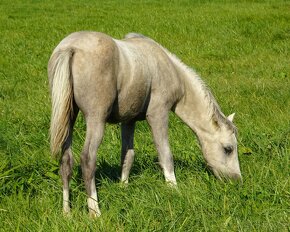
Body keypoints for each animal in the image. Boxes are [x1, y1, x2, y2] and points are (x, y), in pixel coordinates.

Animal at [48, 31, 242, 218]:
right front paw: (174, 190)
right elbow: (165, 154)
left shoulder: (128, 121)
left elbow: (127, 156)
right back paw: (95, 212)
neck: (169, 68)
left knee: (66, 161)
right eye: (228, 149)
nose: (236, 181)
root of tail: (71, 48)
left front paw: (123, 188)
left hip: (69, 117)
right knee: (88, 160)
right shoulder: (158, 115)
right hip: (96, 119)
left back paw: (66, 212)